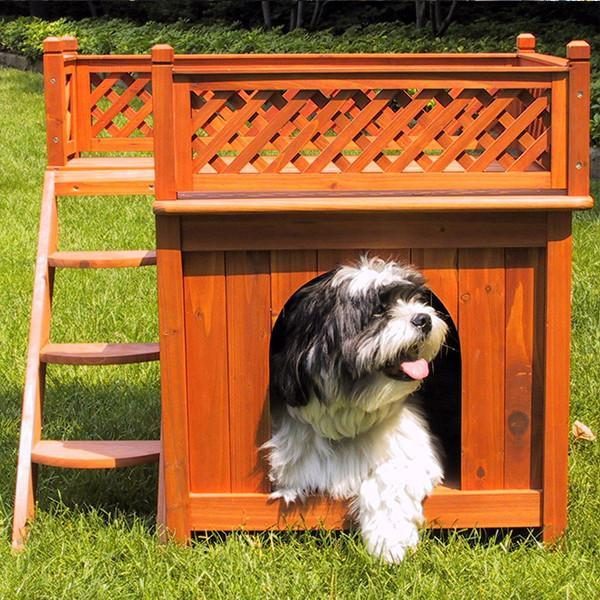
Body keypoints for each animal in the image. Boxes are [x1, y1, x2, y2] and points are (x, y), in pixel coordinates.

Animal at [264, 256, 448, 564]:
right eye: (377, 311)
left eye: (415, 299)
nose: (424, 318)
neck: (348, 423)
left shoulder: (415, 455)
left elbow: (389, 477)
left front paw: (389, 542)